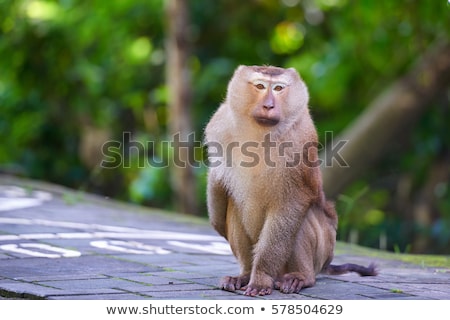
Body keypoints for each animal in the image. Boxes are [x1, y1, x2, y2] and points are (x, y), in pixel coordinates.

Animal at [204, 65, 376, 298]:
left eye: (278, 88)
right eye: (260, 86)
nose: (268, 105)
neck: (261, 134)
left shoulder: (299, 140)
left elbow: (293, 203)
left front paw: (261, 278)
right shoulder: (219, 125)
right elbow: (219, 183)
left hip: (322, 250)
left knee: (301, 215)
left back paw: (300, 277)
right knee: (234, 206)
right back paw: (245, 274)